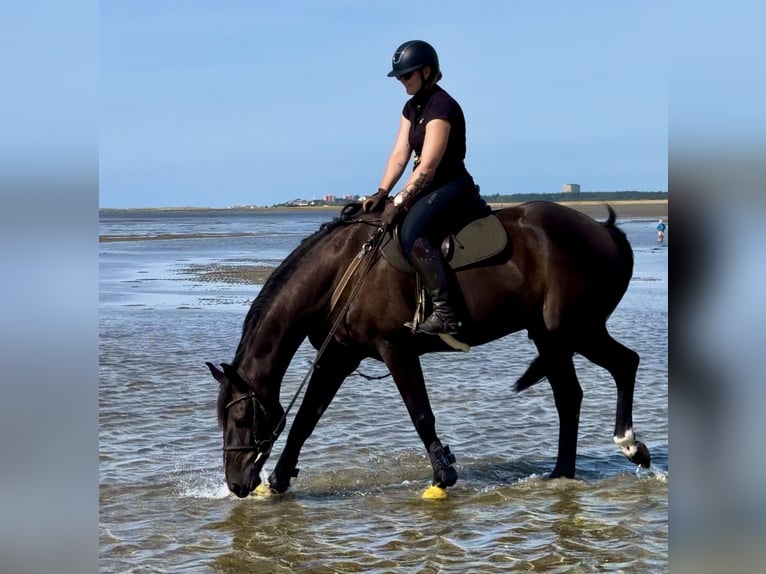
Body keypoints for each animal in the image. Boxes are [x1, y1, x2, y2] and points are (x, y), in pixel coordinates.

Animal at [207, 202, 652, 500]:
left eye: (242, 417)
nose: (236, 482)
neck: (343, 271)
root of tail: (603, 229)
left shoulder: (395, 349)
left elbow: (420, 413)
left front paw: (442, 477)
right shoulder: (338, 357)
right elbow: (304, 420)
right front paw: (279, 481)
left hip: (573, 331)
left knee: (624, 365)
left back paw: (629, 444)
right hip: (552, 337)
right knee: (571, 395)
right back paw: (563, 471)